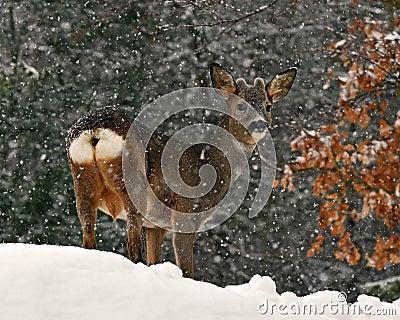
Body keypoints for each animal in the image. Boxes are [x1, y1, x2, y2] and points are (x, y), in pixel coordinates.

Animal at [66, 62, 296, 278]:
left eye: (268, 106)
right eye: (240, 106)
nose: (259, 124)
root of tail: (95, 129)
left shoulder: (156, 225)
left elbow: (154, 261)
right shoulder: (186, 214)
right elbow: (187, 270)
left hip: (82, 182)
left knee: (89, 238)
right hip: (133, 187)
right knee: (132, 245)